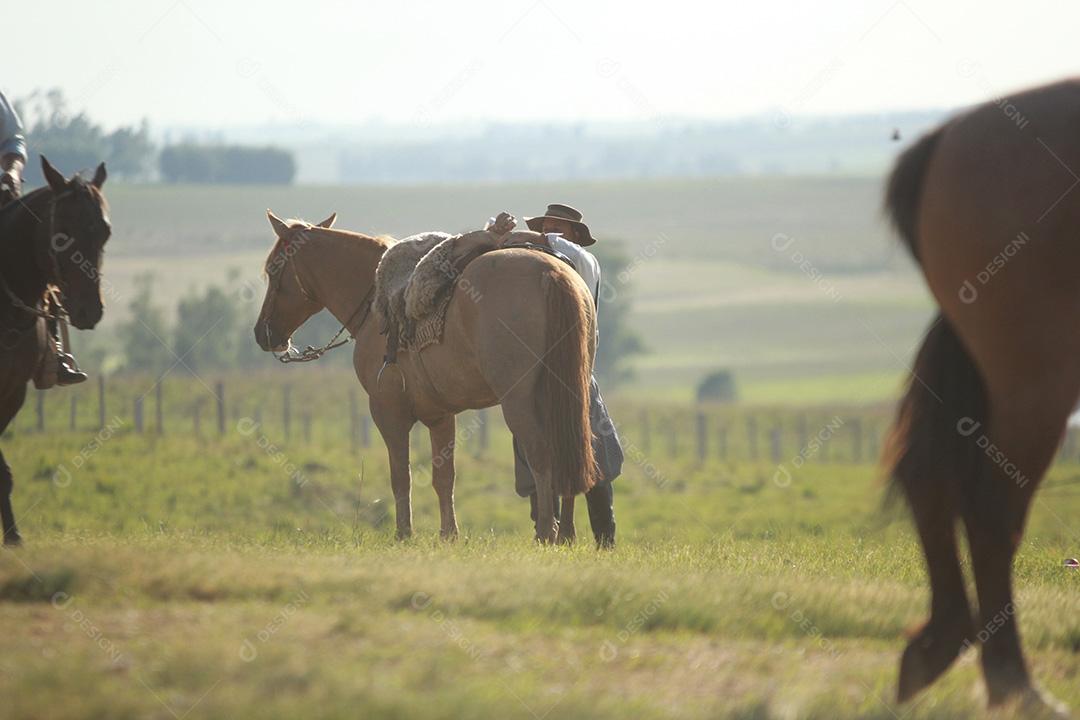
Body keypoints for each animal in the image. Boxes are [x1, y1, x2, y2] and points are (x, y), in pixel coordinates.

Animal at [250, 211, 600, 544]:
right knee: (569, 449)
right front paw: (449, 535)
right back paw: (566, 533)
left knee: (542, 453)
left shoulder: (387, 411)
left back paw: (546, 532)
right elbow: (444, 477)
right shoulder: (440, 416)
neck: (373, 301)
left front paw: (404, 533)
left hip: (519, 402)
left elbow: (400, 475)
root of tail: (552, 272)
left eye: (273, 269)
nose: (263, 334)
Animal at [885, 77, 1080, 716]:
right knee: (993, 508)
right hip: (1034, 374)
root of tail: (947, 139)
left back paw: (938, 646)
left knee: (930, 474)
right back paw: (1013, 682)